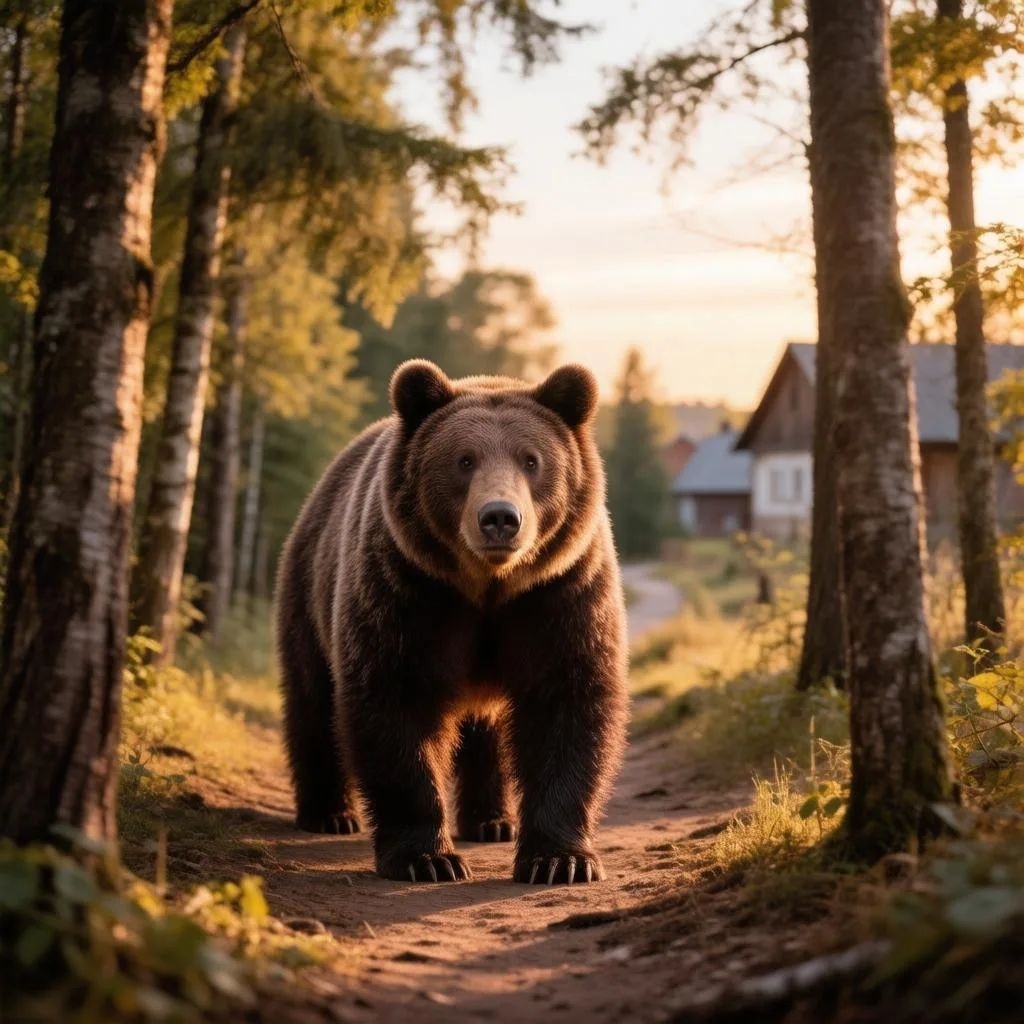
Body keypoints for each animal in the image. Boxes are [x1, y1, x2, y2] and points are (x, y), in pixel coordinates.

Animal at [275, 359, 628, 884]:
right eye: (464, 460)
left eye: (531, 460)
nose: (500, 518)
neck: (488, 586)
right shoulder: (408, 591)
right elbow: (395, 704)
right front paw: (428, 858)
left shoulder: (559, 594)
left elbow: (566, 702)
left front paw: (559, 860)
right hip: (308, 589)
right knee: (312, 697)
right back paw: (329, 812)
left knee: (486, 733)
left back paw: (492, 820)